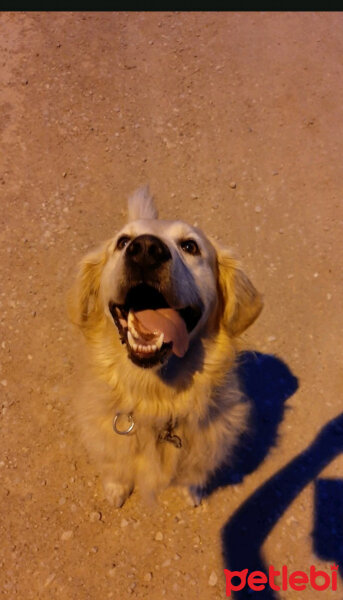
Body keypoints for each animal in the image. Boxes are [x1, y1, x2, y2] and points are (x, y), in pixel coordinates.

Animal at [69, 186, 264, 506]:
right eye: (122, 242)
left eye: (190, 246)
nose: (146, 249)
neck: (156, 396)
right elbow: (116, 466)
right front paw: (116, 489)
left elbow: (194, 474)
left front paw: (192, 491)